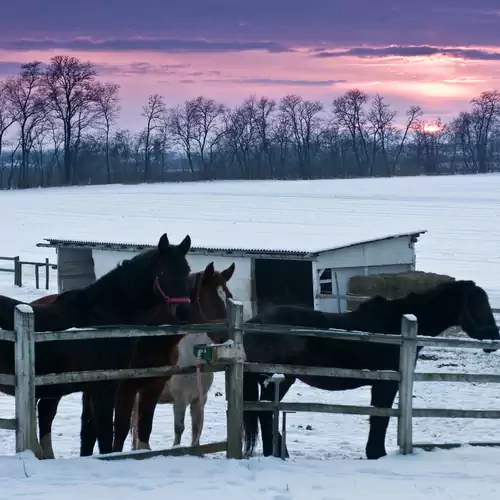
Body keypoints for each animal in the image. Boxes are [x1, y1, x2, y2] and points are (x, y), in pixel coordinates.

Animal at [0, 232, 191, 458]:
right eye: (163, 271)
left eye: (187, 270)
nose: (184, 311)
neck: (103, 317)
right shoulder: (105, 386)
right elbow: (105, 433)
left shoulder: (92, 388)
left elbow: (90, 431)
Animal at [241, 280, 496, 458]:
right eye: (477, 305)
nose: (495, 337)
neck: (395, 328)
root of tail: (251, 324)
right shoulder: (386, 384)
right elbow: (380, 418)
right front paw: (376, 453)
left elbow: (378, 417)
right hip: (280, 379)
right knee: (265, 412)